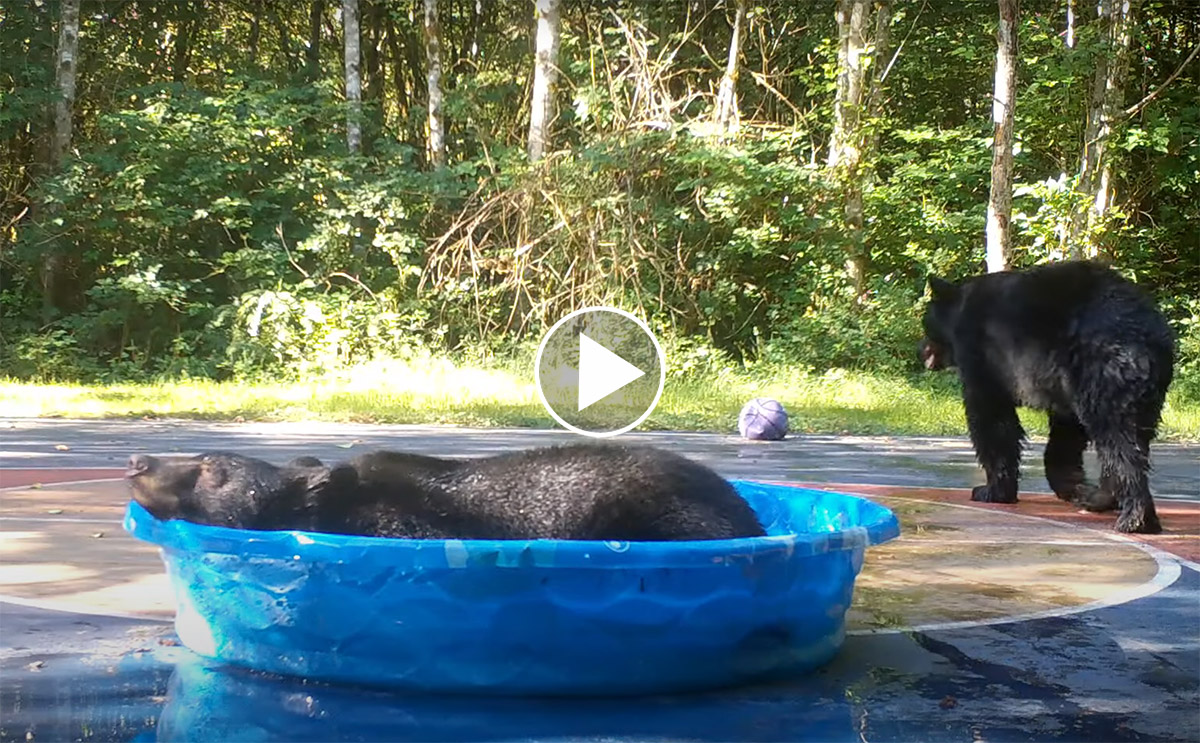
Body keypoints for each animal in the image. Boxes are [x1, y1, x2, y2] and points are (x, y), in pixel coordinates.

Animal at [916, 260, 1171, 535]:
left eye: (925, 322)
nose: (921, 350)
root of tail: (1142, 332)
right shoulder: (1065, 385)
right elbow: (1065, 436)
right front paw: (1073, 486)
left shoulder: (982, 357)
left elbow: (991, 421)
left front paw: (992, 490)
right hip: (1146, 392)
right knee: (1134, 439)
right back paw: (1099, 499)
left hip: (1103, 372)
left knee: (1118, 441)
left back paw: (1134, 519)